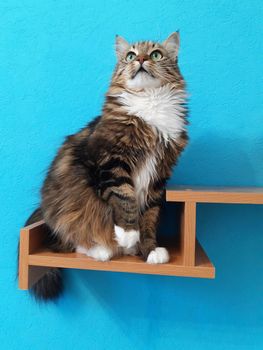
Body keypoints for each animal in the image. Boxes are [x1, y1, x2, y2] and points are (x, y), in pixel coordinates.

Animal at [21, 32, 189, 300]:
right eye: (130, 56)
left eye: (155, 54)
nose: (141, 59)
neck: (149, 102)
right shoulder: (110, 162)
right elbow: (125, 198)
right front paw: (128, 234)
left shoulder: (158, 178)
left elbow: (149, 218)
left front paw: (149, 250)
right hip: (71, 207)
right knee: (70, 238)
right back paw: (103, 250)